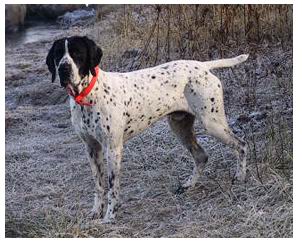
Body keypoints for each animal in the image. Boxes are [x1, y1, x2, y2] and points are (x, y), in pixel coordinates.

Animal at [45, 36, 248, 223]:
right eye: (58, 55)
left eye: (77, 53)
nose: (63, 69)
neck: (89, 95)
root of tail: (203, 65)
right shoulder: (91, 149)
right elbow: (99, 185)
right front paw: (96, 211)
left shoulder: (113, 149)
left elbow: (112, 187)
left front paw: (110, 216)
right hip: (180, 127)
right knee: (201, 156)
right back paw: (189, 185)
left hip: (212, 123)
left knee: (241, 145)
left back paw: (240, 176)